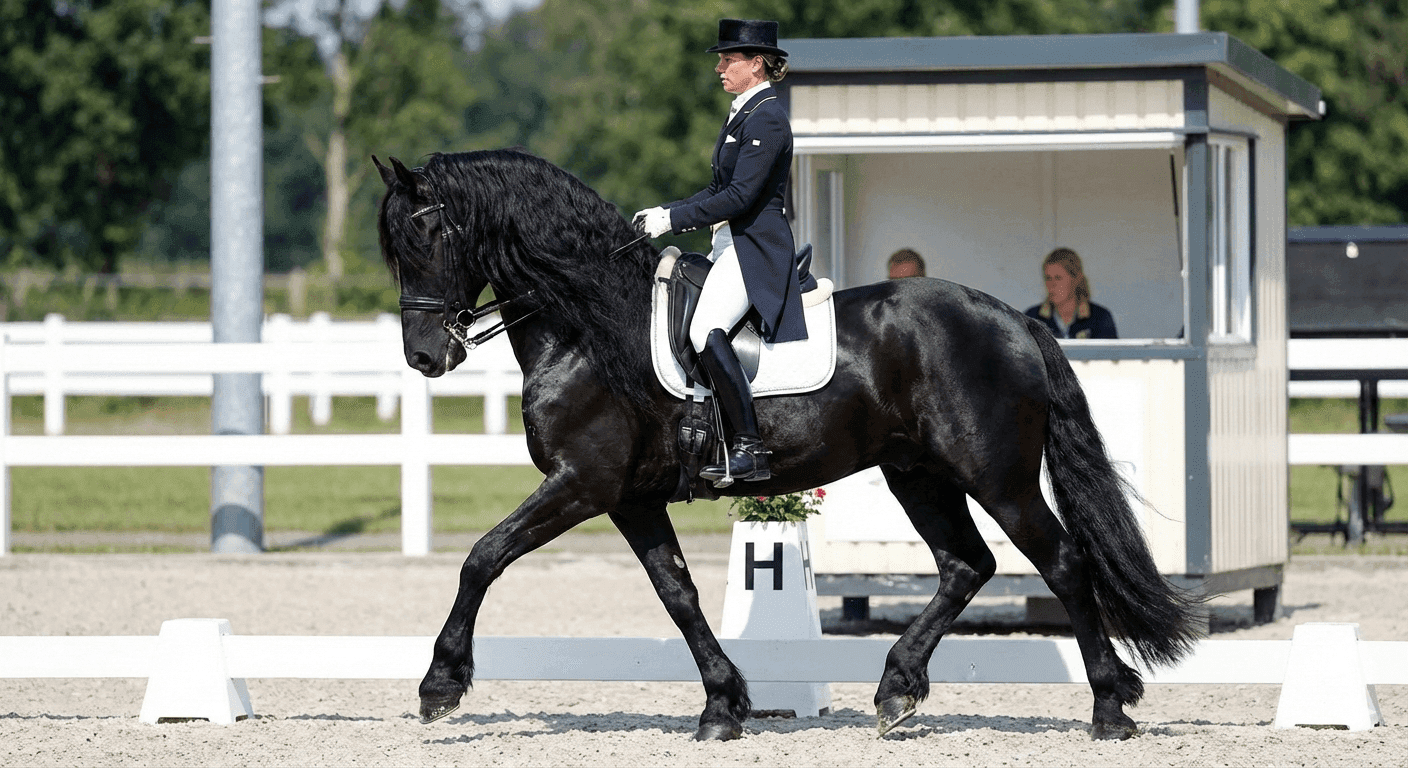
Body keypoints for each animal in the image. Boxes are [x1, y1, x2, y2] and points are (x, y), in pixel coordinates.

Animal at [373, 149, 1201, 742]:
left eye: (428, 235)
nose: (424, 358)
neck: (588, 325)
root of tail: (1012, 318)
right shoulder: (631, 497)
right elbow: (677, 593)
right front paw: (723, 706)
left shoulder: (582, 482)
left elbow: (483, 556)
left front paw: (440, 685)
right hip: (918, 474)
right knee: (967, 565)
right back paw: (896, 690)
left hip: (997, 477)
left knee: (1061, 564)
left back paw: (1109, 710)